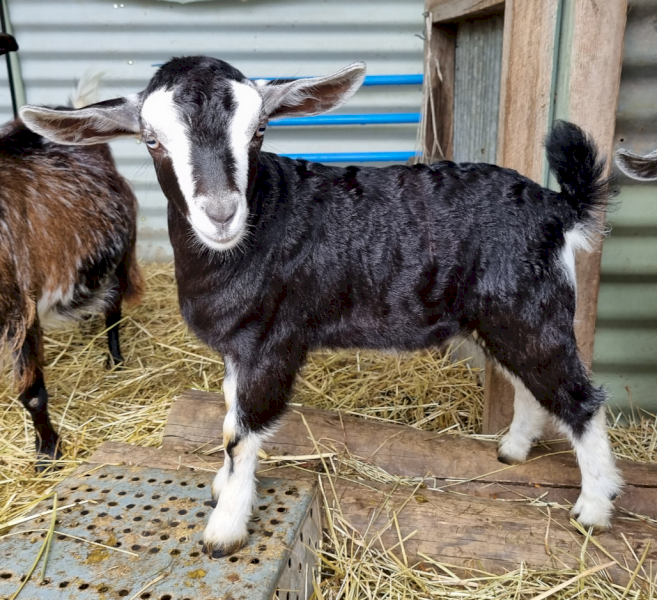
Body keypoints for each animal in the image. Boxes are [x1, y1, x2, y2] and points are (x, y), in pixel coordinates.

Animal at [1, 77, 143, 469]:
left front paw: (48, 452)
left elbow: (32, 393)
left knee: (113, 308)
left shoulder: (20, 306)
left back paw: (114, 360)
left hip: (119, 254)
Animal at [20, 56, 622, 557]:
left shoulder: (271, 340)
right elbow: (227, 412)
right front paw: (220, 486)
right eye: (150, 140)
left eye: (260, 131)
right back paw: (514, 450)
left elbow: (241, 431)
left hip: (530, 308)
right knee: (529, 382)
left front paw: (224, 530)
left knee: (579, 397)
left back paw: (593, 508)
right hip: (502, 315)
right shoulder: (238, 349)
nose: (221, 213)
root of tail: (558, 208)